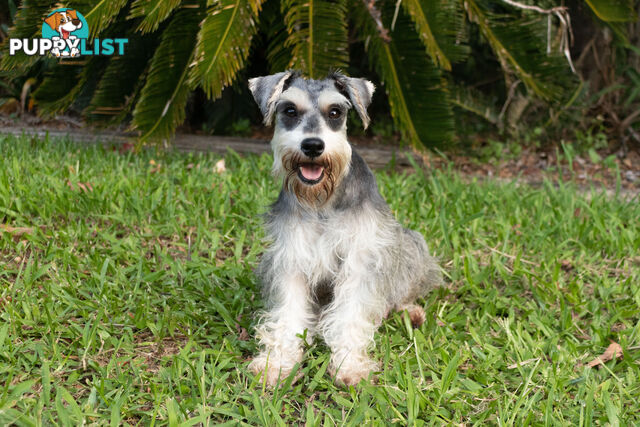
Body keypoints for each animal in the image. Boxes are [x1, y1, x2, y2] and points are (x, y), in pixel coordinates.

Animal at [248, 71, 442, 388]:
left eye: (335, 112)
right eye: (289, 110)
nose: (313, 146)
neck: (322, 200)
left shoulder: (360, 259)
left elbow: (351, 313)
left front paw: (349, 365)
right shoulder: (292, 259)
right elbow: (288, 313)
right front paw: (276, 363)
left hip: (410, 244)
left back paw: (409, 311)